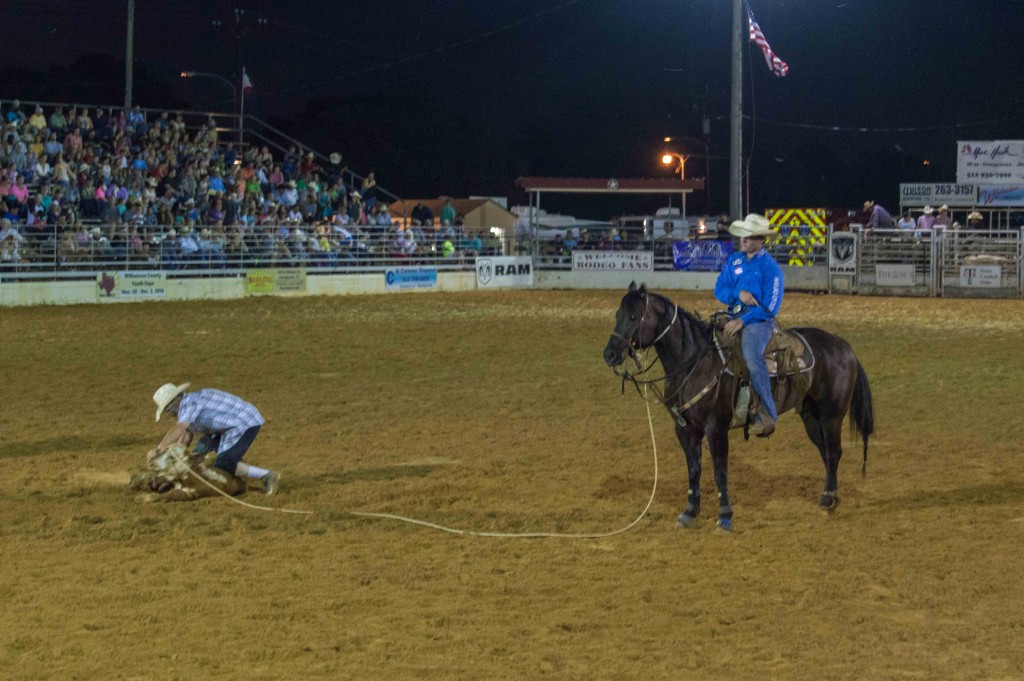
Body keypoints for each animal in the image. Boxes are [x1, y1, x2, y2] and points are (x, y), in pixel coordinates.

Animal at [602, 282, 876, 532]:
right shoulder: (684, 429)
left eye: (634, 316)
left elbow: (720, 472)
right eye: (617, 315)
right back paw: (830, 497)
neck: (695, 362)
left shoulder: (716, 428)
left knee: (833, 452)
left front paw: (725, 516)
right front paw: (690, 512)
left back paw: (827, 500)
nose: (609, 354)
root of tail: (844, 346)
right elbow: (694, 470)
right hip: (810, 416)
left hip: (831, 416)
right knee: (826, 453)